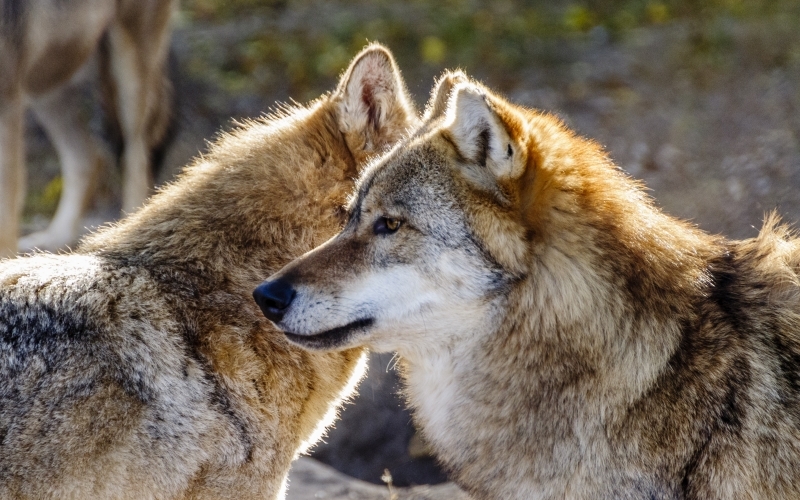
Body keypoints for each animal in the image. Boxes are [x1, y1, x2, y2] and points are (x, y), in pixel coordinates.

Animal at [0, 0, 177, 258]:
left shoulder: (7, 101)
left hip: (128, 69)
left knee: (137, 161)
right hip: (44, 83)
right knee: (89, 157)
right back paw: (55, 241)